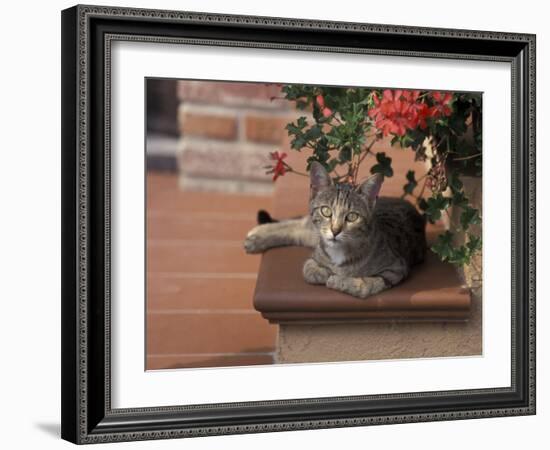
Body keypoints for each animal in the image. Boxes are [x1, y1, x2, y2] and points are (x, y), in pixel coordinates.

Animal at [244, 163, 430, 298]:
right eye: (326, 211)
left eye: (352, 217)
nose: (335, 230)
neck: (340, 251)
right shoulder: (315, 253)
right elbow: (309, 269)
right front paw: (325, 273)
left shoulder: (396, 268)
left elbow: (366, 284)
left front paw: (339, 280)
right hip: (313, 231)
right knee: (298, 224)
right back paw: (256, 236)